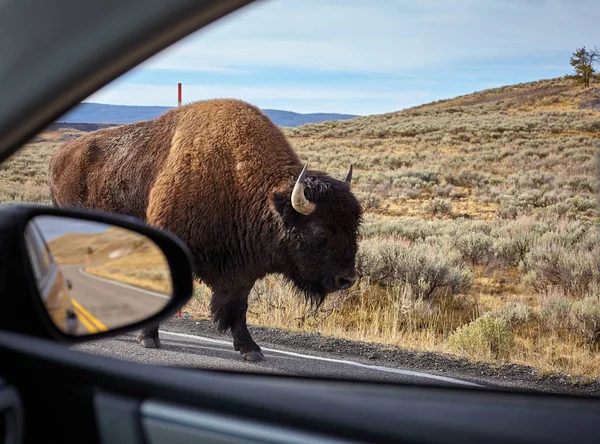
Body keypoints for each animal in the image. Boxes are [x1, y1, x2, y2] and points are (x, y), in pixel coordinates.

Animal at [48, 99, 360, 362]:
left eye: (355, 226)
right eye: (319, 230)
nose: (346, 279)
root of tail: (58, 156)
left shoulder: (242, 270)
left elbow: (238, 308)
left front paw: (250, 349)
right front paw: (148, 338)